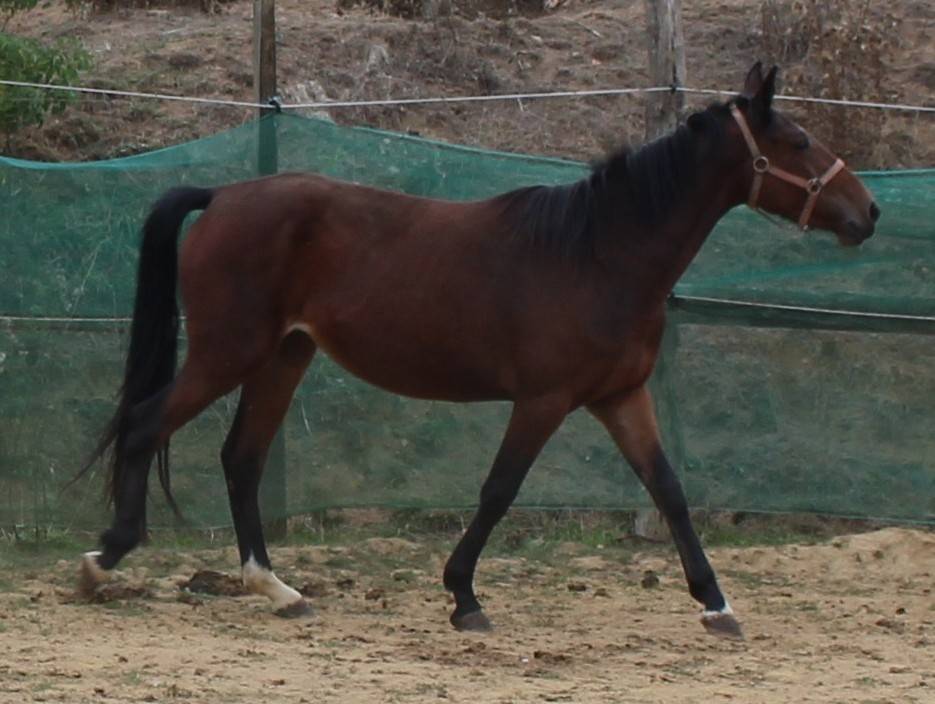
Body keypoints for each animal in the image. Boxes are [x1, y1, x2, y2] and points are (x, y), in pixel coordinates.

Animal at [76, 62, 878, 639]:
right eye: (798, 143)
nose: (868, 213)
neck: (598, 253)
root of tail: (223, 195)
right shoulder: (545, 399)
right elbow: (499, 490)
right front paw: (463, 597)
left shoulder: (621, 397)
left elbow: (669, 490)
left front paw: (715, 603)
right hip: (227, 353)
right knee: (147, 425)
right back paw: (103, 559)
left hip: (282, 357)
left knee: (241, 458)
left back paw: (278, 588)